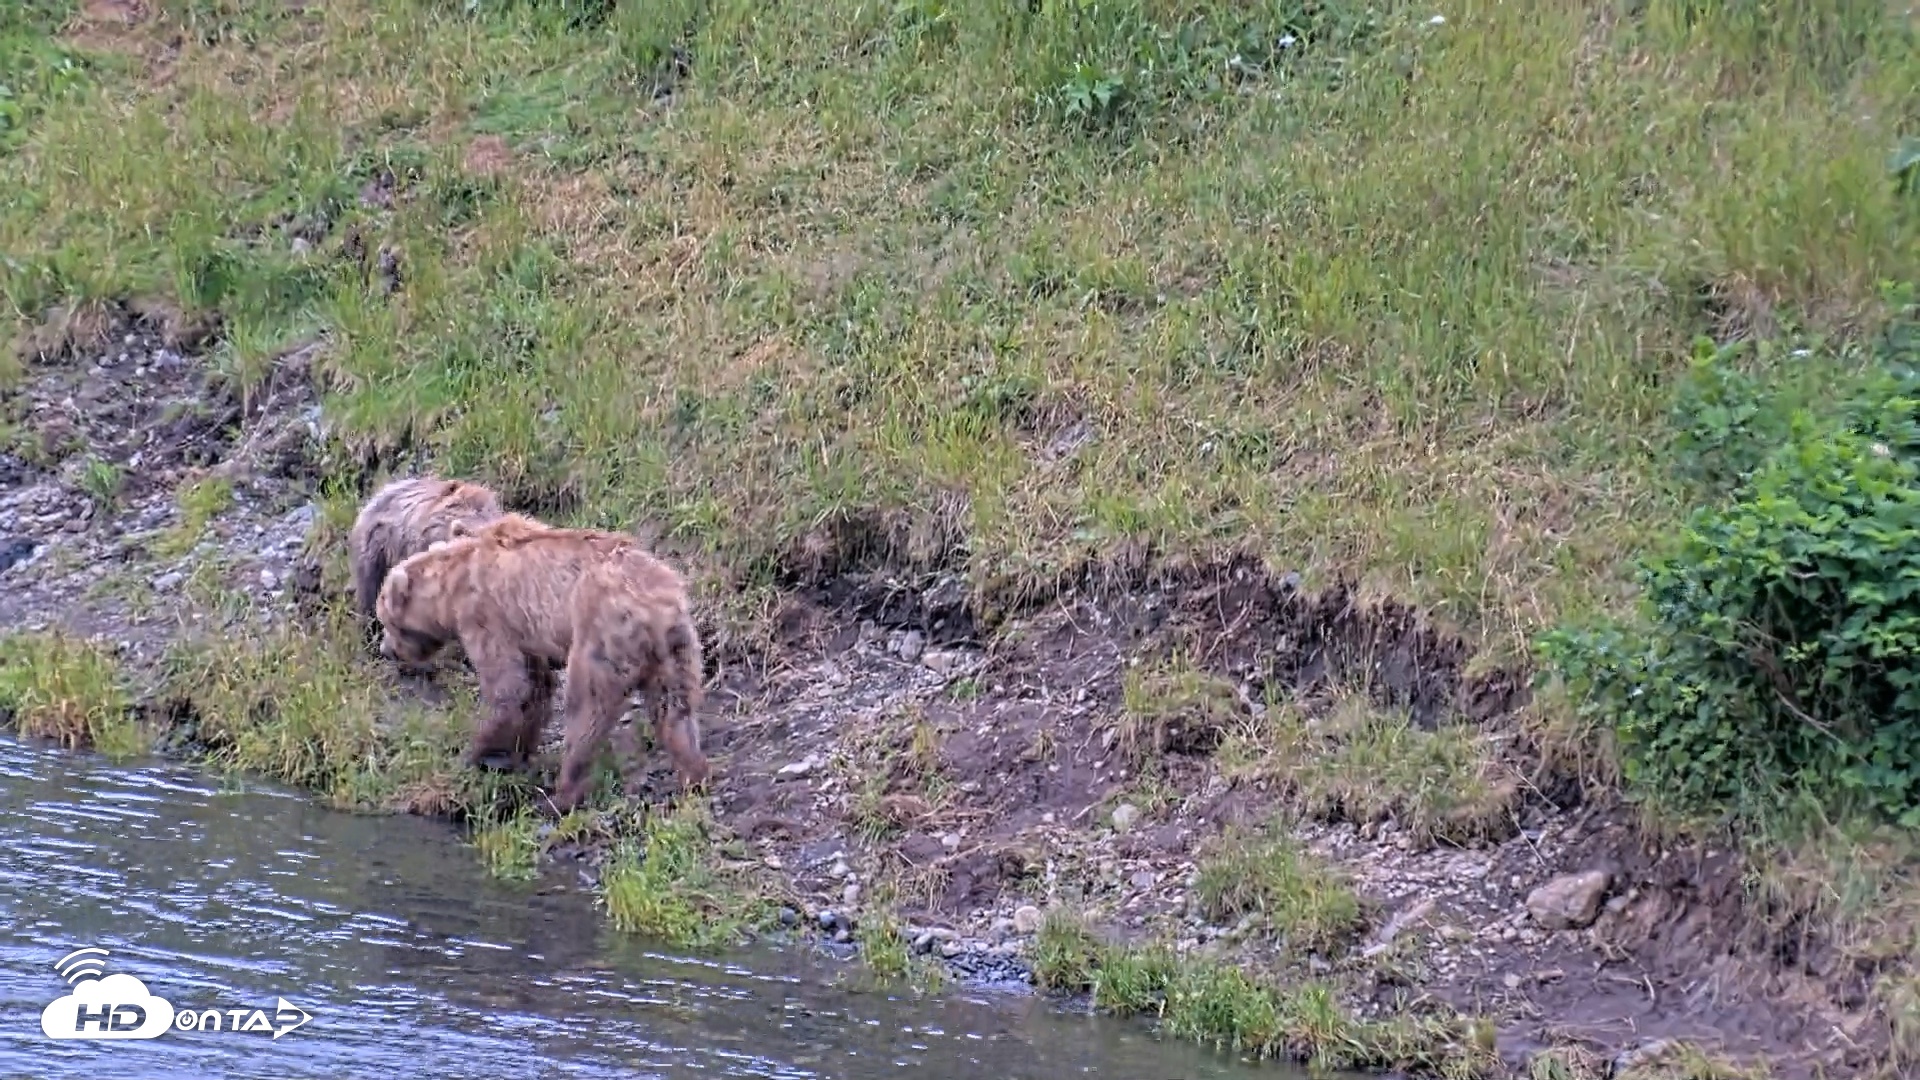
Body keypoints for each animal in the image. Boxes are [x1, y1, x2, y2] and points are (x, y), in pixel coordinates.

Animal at [373, 512, 711, 813]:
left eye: (387, 621)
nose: (385, 649)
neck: (451, 586)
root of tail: (655, 606)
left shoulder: (486, 616)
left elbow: (508, 687)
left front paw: (477, 751)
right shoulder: (524, 633)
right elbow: (535, 688)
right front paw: (517, 751)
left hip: (601, 633)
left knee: (586, 707)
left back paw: (562, 795)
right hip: (676, 647)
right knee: (675, 708)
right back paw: (694, 774)